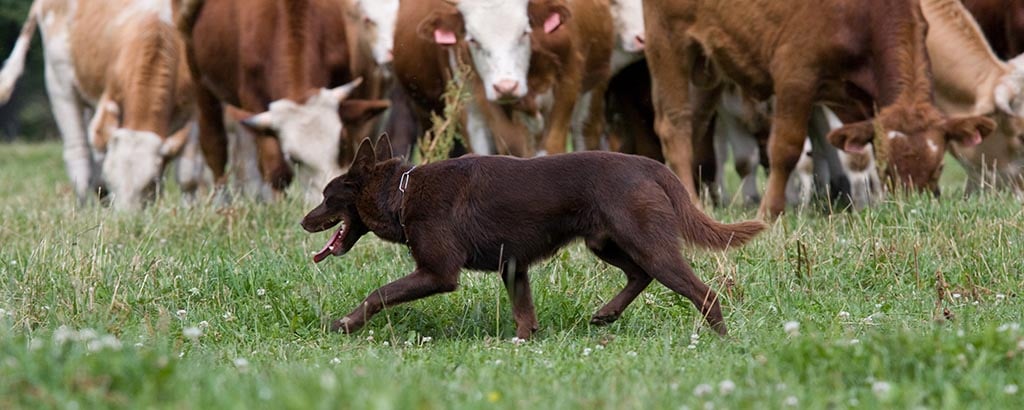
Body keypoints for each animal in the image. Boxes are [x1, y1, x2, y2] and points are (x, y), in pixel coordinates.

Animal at [0, 0, 199, 210]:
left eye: (151, 183)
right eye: (112, 179)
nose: (125, 216)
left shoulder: (194, 107)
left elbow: (188, 174)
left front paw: (189, 209)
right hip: (59, 81)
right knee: (77, 152)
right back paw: (83, 207)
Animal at [176, 0, 387, 203]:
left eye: (342, 143)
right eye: (294, 159)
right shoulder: (252, 98)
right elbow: (276, 169)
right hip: (199, 77)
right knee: (215, 143)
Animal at [303, 136, 770, 338]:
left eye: (327, 196)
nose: (304, 222)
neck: (401, 191)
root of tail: (651, 165)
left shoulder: (437, 273)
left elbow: (379, 293)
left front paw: (345, 323)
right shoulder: (514, 267)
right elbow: (523, 314)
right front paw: (523, 344)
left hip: (647, 244)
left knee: (703, 292)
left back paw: (722, 342)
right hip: (607, 243)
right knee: (639, 276)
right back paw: (607, 315)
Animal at [643, 0, 995, 219]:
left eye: (939, 167)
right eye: (888, 169)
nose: (915, 208)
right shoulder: (796, 75)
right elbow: (785, 149)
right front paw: (770, 212)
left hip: (709, 66)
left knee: (695, 126)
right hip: (668, 43)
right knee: (674, 126)